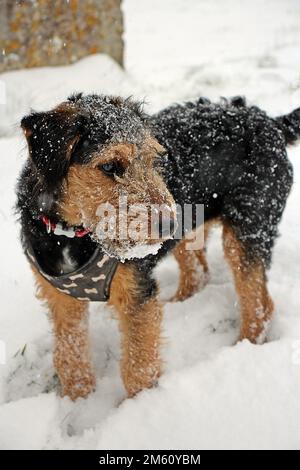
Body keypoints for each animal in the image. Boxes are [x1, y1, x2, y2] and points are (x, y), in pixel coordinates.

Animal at [17, 92, 298, 400]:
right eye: (109, 166)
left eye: (153, 160)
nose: (168, 224)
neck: (70, 234)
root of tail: (270, 122)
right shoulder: (60, 297)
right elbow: (69, 355)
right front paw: (79, 399)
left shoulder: (135, 293)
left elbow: (138, 365)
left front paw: (141, 404)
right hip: (192, 235)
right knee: (199, 272)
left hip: (248, 231)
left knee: (258, 304)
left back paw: (243, 347)